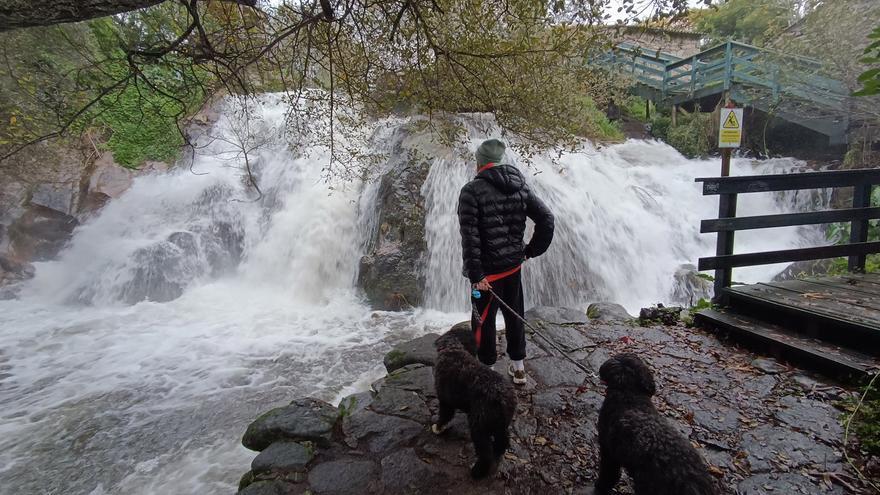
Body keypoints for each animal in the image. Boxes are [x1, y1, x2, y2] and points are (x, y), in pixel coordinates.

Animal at [432, 328, 516, 478]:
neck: (452, 349)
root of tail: (501, 397)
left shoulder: (445, 401)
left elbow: (444, 415)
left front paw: (438, 427)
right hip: (501, 424)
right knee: (502, 440)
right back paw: (498, 452)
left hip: (479, 426)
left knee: (485, 453)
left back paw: (477, 471)